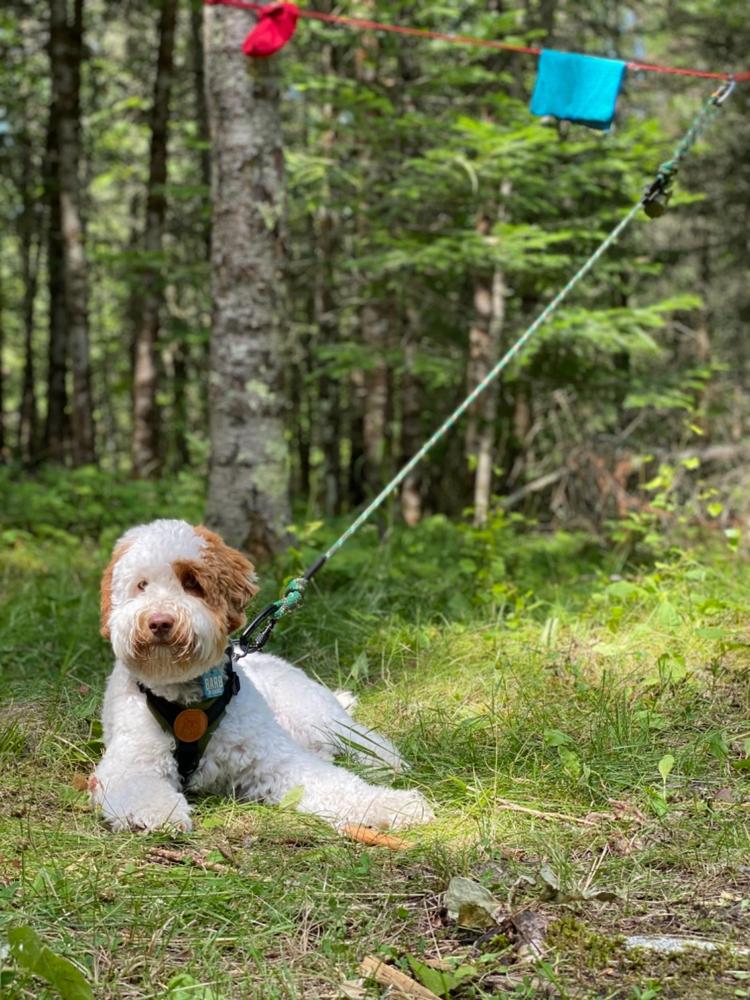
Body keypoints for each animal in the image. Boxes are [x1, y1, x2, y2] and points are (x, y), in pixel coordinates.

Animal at [92, 520, 434, 832]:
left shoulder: (276, 758)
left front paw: (392, 804)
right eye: (141, 585)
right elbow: (139, 788)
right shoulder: (130, 762)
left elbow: (336, 784)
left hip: (314, 717)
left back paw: (385, 762)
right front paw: (157, 813)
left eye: (191, 582)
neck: (185, 697)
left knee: (365, 740)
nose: (160, 622)